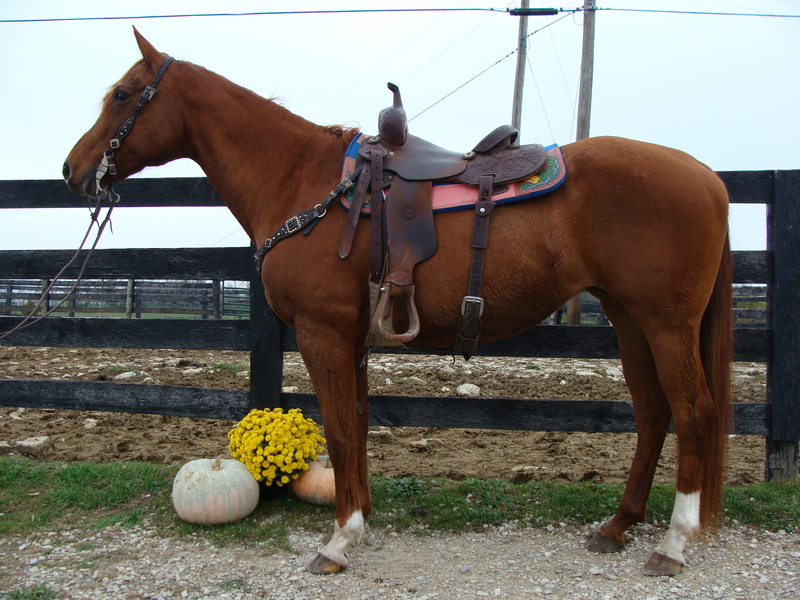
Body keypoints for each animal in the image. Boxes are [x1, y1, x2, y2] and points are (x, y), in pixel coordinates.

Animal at [63, 29, 733, 577]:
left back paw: (671, 545)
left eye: (123, 94)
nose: (72, 169)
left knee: (694, 412)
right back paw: (616, 527)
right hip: (629, 319)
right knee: (652, 413)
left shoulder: (323, 333)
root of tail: (707, 177)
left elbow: (338, 429)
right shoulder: (354, 338)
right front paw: (358, 518)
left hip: (666, 323)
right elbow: (357, 425)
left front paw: (338, 541)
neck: (304, 182)